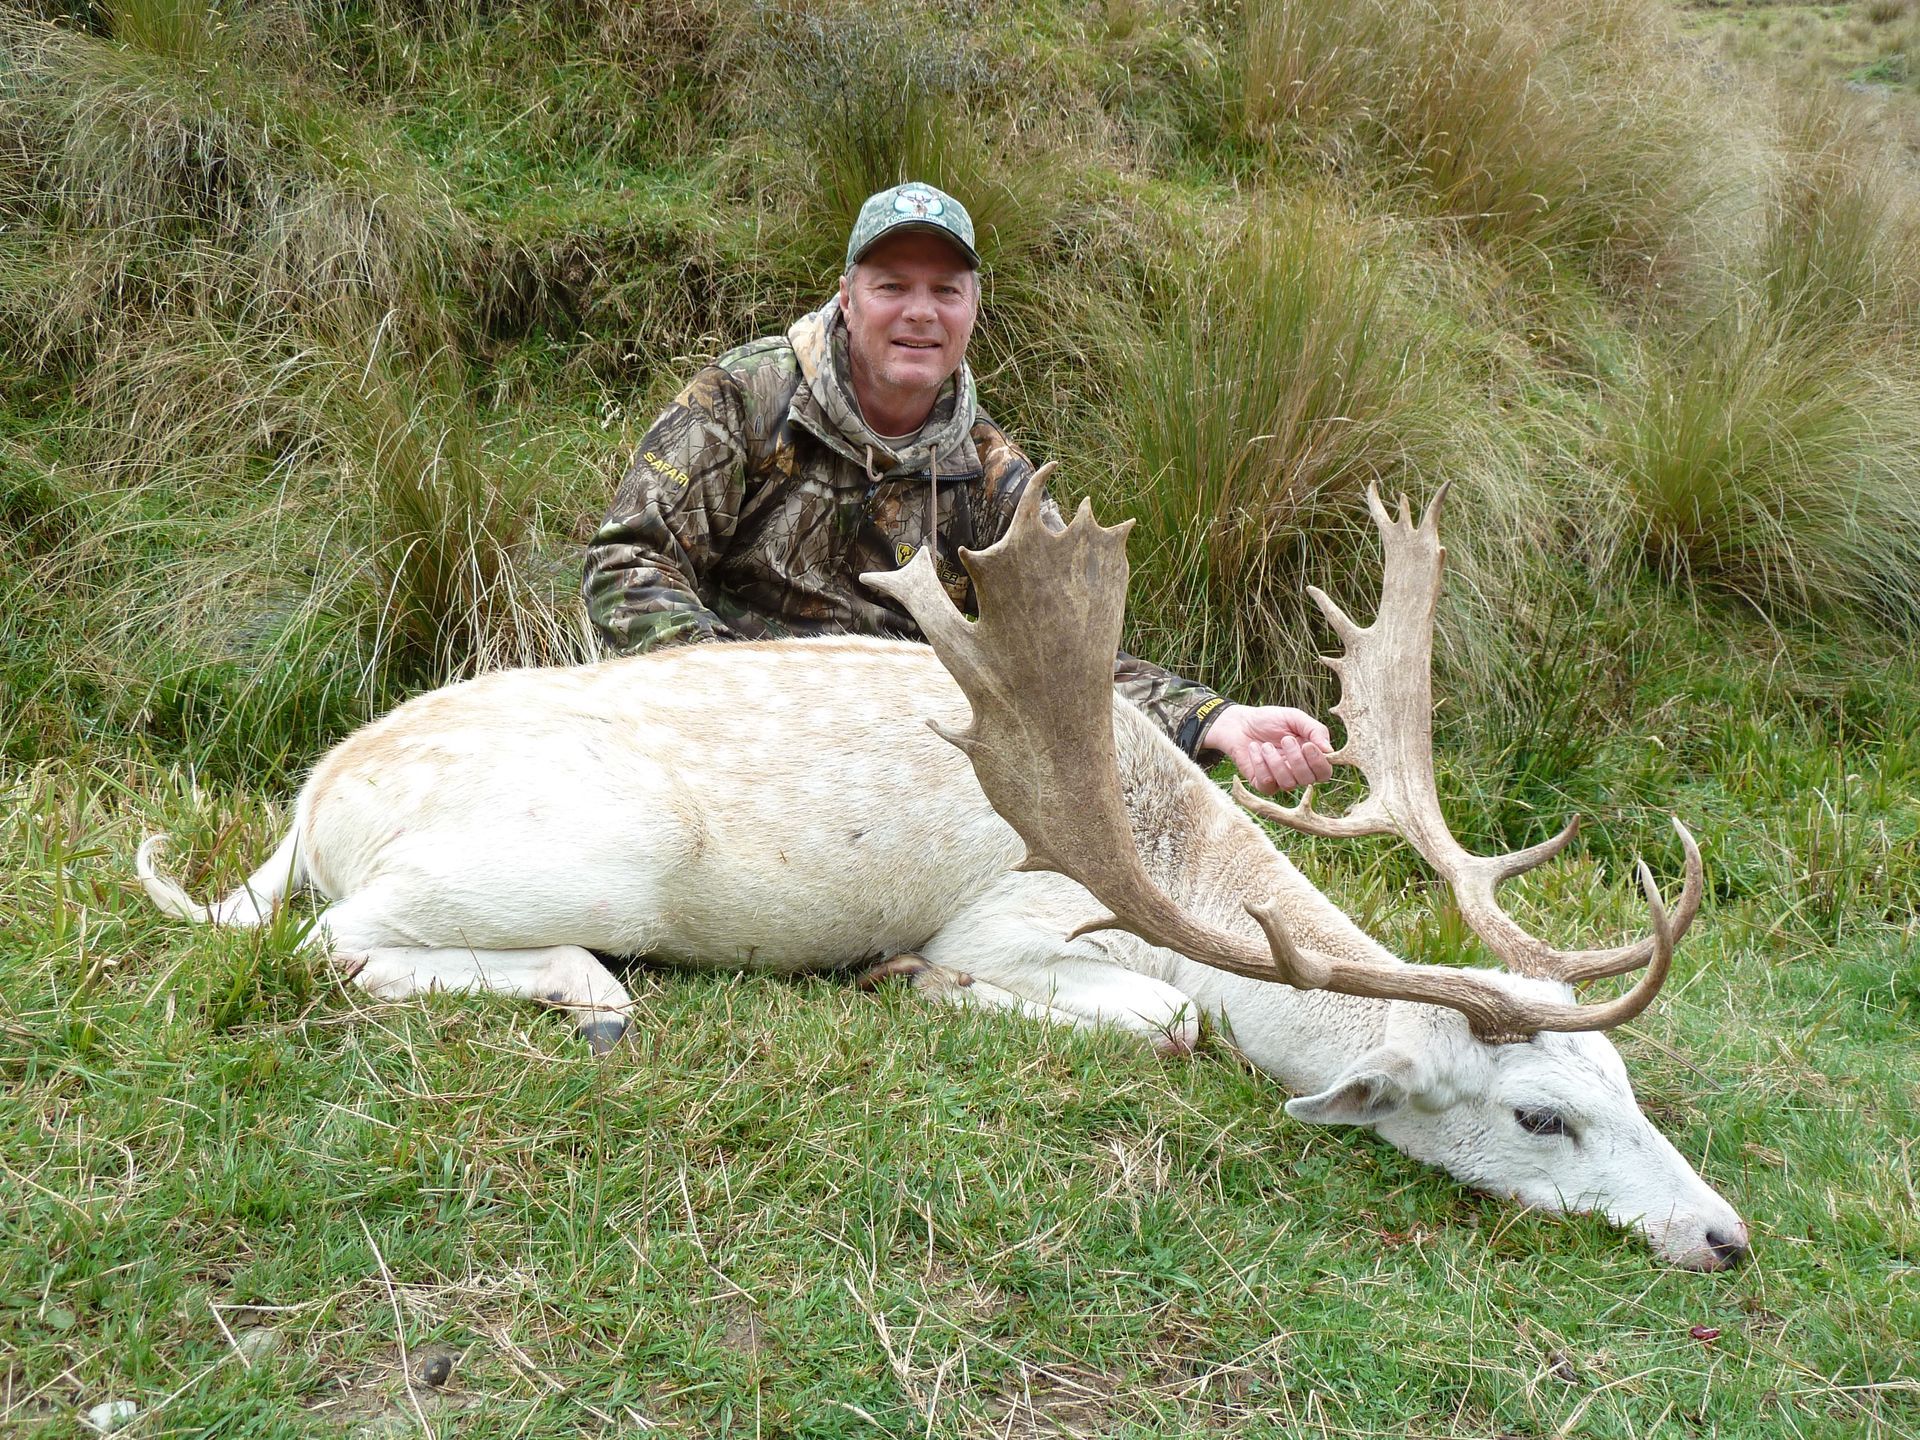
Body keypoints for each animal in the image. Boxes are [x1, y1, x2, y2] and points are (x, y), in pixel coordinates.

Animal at [137, 471, 1749, 1271]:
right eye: (1538, 1117)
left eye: (1624, 1086)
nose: (1725, 1236)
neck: (1175, 869)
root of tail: (312, 799)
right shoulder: (1022, 918)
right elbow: (1167, 1019)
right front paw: (910, 976)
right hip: (576, 856)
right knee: (328, 942)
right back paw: (587, 992)